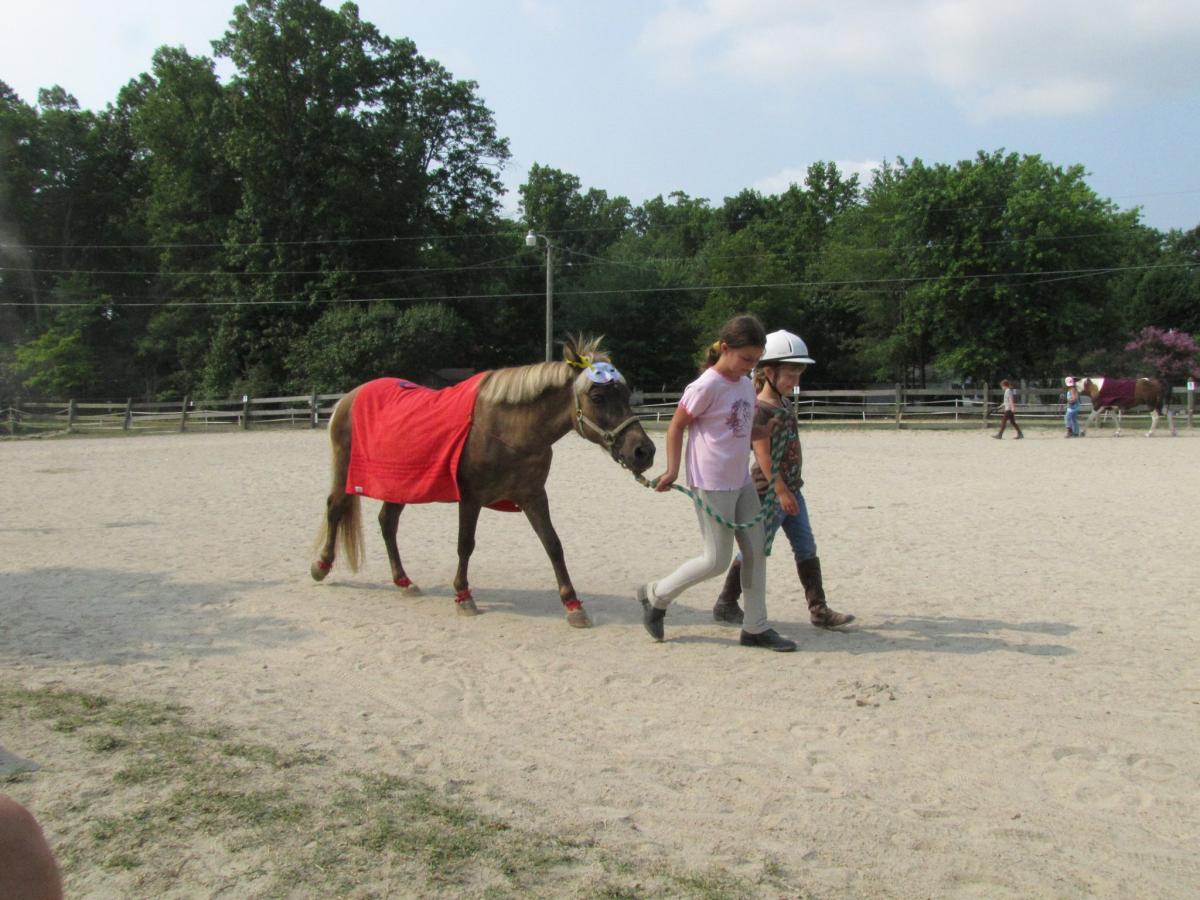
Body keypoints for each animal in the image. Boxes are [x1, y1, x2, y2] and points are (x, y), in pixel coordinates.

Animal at [304, 338, 652, 628]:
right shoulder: (470, 498)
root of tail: (348, 398)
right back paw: (321, 565)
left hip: (400, 485)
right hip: (346, 472)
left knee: (387, 523)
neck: (505, 430)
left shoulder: (533, 496)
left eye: (626, 393)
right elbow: (465, 544)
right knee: (335, 508)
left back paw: (404, 581)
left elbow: (553, 544)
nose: (644, 451)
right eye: (598, 396)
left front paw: (573, 605)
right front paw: (463, 596)